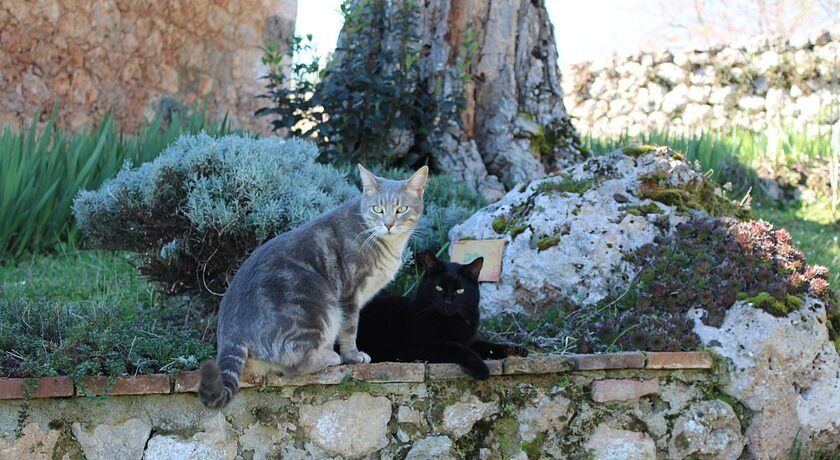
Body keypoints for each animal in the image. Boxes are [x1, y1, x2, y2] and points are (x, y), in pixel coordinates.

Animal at [199, 165, 428, 409]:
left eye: (401, 209)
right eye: (377, 209)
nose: (388, 224)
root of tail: (230, 333)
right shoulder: (349, 294)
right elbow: (349, 330)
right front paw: (353, 356)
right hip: (317, 306)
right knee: (293, 366)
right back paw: (330, 356)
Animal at [356, 251, 528, 380]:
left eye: (460, 291)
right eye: (439, 288)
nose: (447, 302)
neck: (454, 322)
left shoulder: (467, 340)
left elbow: (485, 344)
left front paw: (516, 350)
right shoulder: (418, 345)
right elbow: (455, 347)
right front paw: (481, 368)